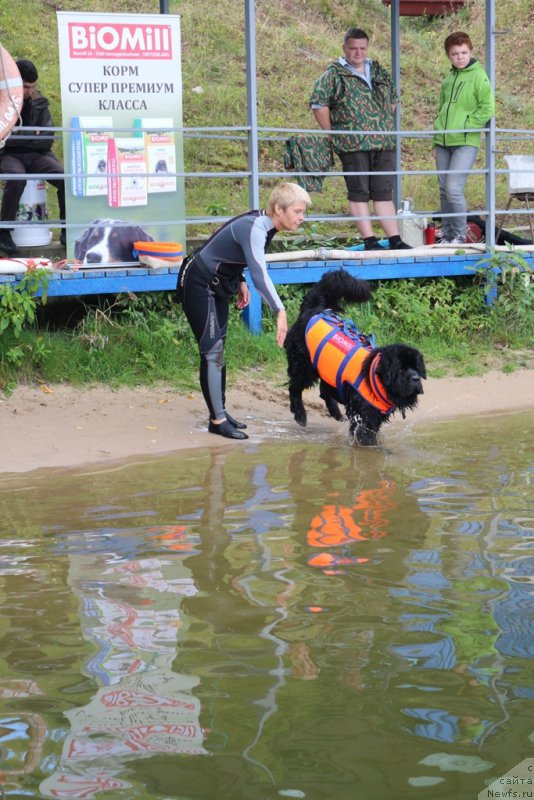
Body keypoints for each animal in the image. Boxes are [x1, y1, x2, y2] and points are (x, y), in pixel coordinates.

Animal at [286, 268, 430, 444]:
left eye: (416, 368)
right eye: (401, 369)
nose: (416, 379)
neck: (376, 379)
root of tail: (313, 310)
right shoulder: (364, 414)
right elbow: (365, 436)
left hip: (328, 371)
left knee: (323, 390)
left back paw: (336, 413)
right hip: (304, 365)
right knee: (294, 386)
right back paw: (300, 414)